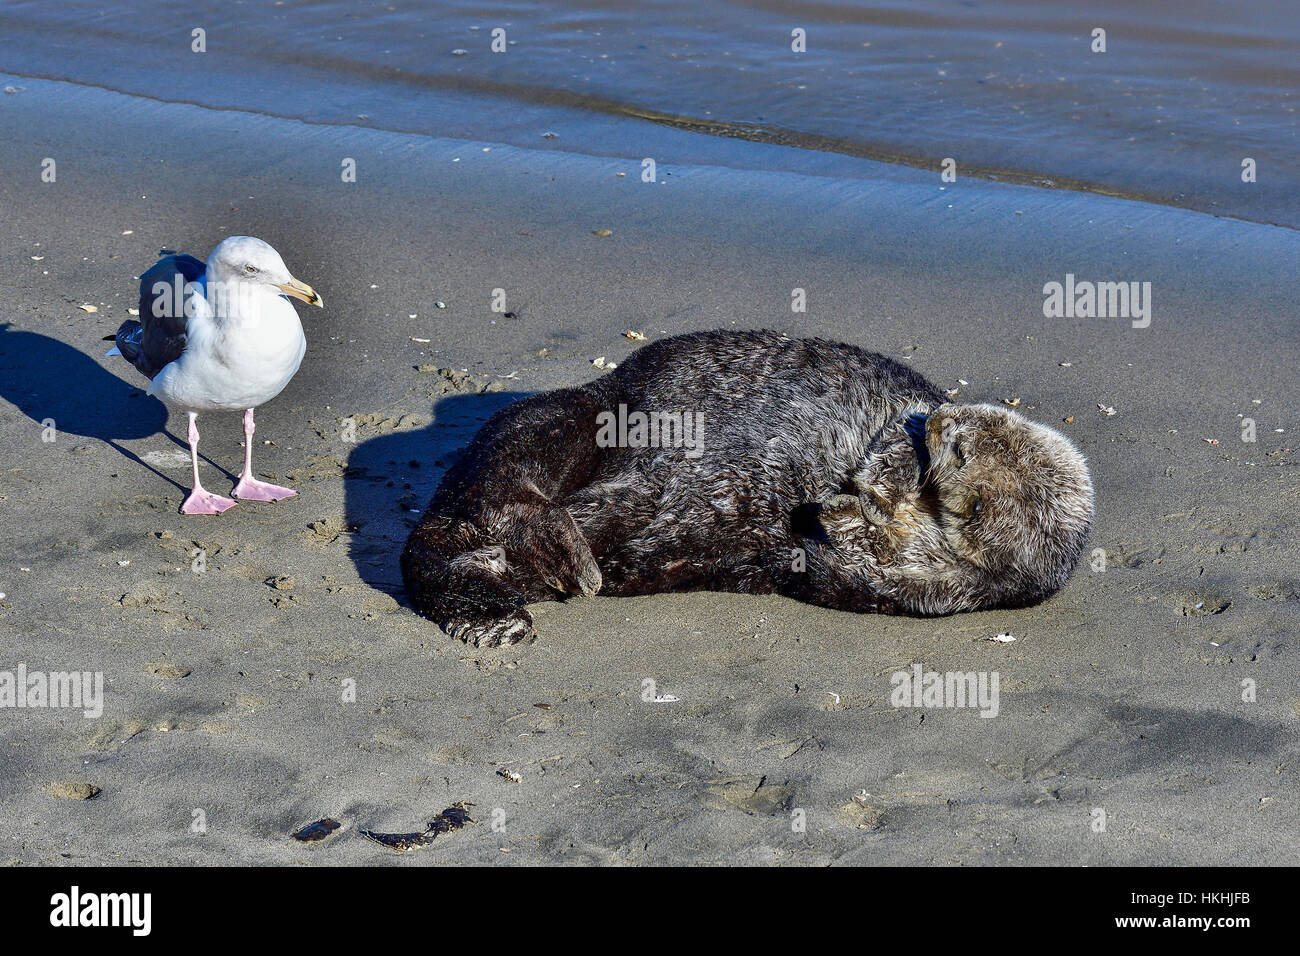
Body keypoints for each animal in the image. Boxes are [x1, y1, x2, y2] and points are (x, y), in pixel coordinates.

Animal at [400, 330, 1092, 650]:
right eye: (963, 424)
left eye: (960, 450)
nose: (943, 422)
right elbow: (890, 446)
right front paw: (867, 485)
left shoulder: (952, 587)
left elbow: (875, 566)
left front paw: (844, 514)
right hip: (576, 420)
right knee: (470, 510)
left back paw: (508, 602)